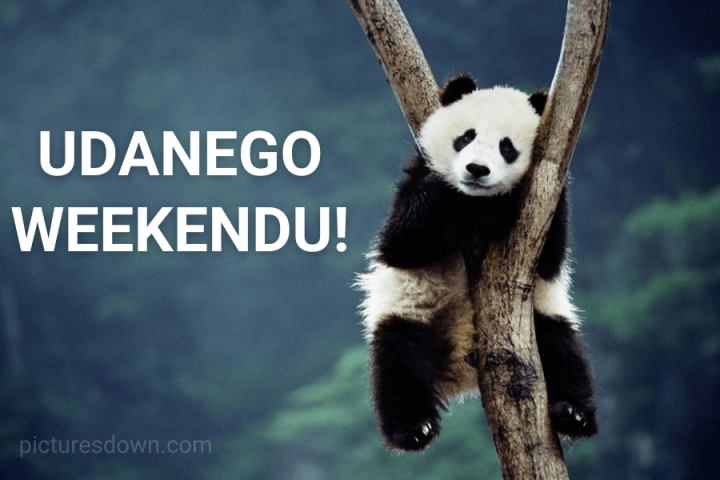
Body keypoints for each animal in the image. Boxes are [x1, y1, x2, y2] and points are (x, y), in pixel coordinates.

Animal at [356, 73, 597, 452]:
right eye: (466, 136)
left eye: (507, 147)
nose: (476, 169)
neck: (474, 201)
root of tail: (460, 366)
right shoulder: (416, 175)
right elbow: (400, 242)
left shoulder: (547, 198)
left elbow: (550, 258)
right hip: (411, 310)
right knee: (398, 363)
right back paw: (414, 428)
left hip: (539, 319)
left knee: (563, 351)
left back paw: (574, 414)